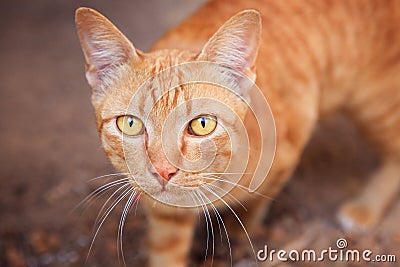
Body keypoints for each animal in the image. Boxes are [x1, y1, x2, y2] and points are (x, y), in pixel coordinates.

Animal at [76, 1, 400, 266]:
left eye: (202, 124)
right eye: (130, 124)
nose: (163, 171)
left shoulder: (287, 154)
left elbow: (256, 203)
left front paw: (239, 228)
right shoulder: (165, 213)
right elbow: (165, 248)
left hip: (375, 104)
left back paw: (365, 206)